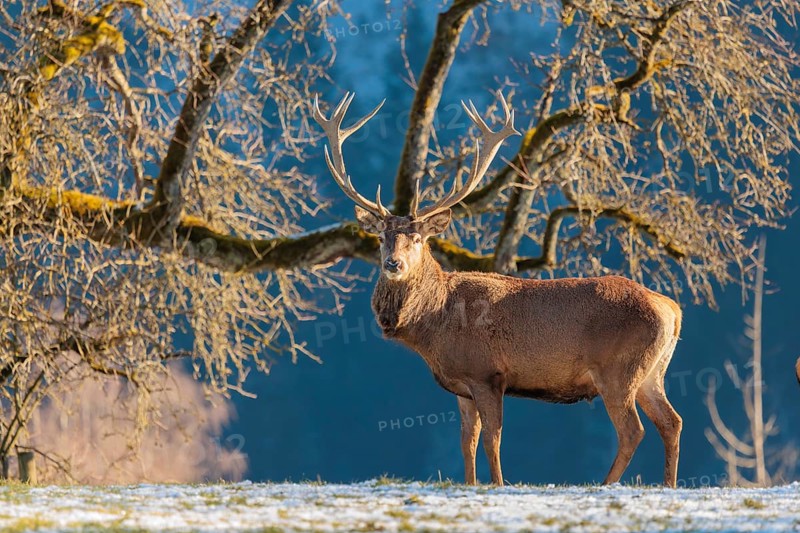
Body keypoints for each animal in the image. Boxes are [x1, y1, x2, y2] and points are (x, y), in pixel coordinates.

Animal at [312, 91, 683, 487]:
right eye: (382, 237)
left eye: (417, 238)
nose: (393, 264)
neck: (436, 324)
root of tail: (672, 309)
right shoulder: (461, 385)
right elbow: (467, 441)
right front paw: (471, 483)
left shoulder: (487, 373)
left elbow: (492, 438)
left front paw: (498, 483)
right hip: (653, 372)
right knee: (672, 422)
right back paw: (668, 484)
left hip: (619, 369)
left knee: (633, 430)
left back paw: (606, 484)